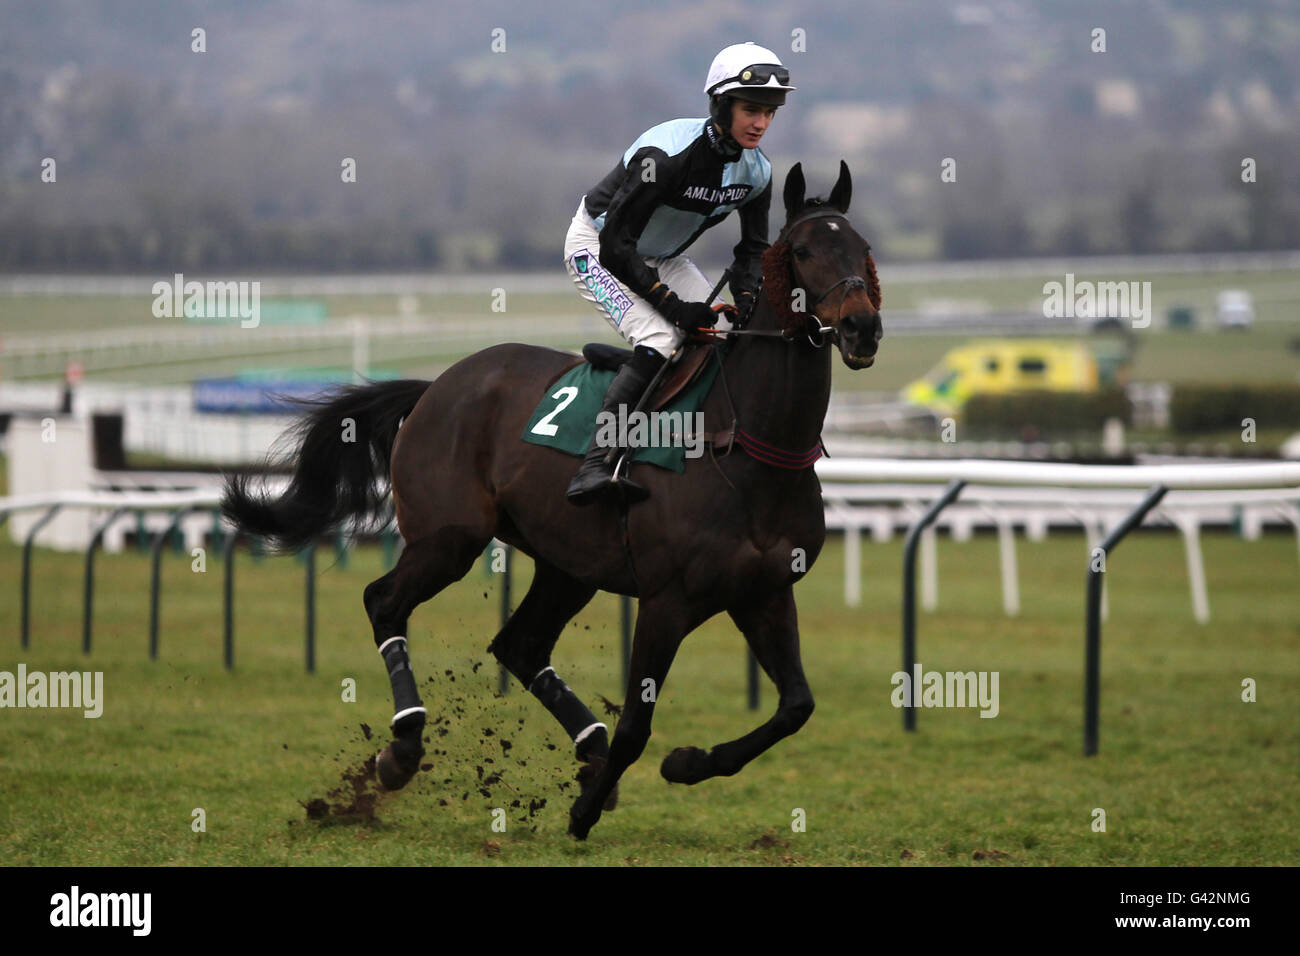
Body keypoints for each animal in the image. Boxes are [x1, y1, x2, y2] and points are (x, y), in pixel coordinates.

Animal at [220, 160, 883, 842]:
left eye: (863, 249)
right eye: (803, 251)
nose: (861, 327)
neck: (747, 444)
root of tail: (438, 386)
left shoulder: (764, 592)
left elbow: (797, 706)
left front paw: (685, 763)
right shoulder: (668, 601)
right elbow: (638, 724)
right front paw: (584, 811)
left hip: (568, 563)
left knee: (520, 644)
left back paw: (588, 749)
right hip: (450, 538)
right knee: (385, 602)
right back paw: (403, 749)